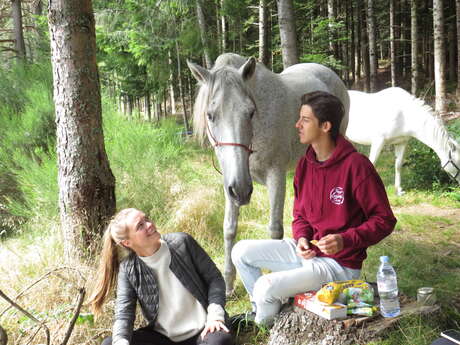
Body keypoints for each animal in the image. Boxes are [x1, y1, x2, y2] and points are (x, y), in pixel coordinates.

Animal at [187, 52, 348, 292]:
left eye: (250, 112)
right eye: (210, 115)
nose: (242, 191)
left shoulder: (275, 175)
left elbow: (274, 230)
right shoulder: (231, 182)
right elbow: (229, 228)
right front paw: (228, 284)